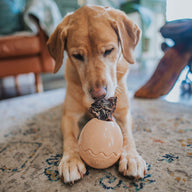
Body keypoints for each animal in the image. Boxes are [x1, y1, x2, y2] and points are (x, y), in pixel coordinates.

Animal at [47, 5, 146, 184]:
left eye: (109, 50)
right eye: (77, 56)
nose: (99, 94)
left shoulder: (124, 113)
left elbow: (127, 135)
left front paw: (132, 157)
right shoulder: (68, 116)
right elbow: (70, 138)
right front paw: (71, 160)